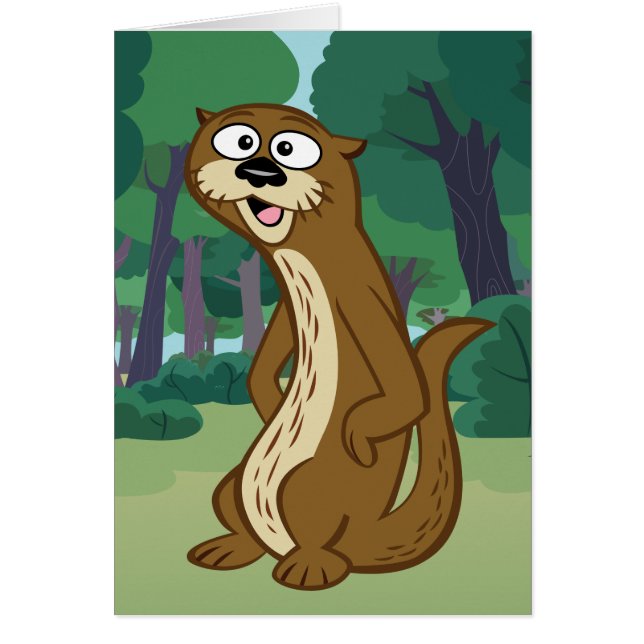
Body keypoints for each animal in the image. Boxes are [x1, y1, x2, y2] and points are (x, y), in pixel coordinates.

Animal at [184, 104, 492, 590]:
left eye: (290, 149)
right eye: (241, 141)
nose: (259, 172)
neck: (302, 255)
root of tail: (363, 536)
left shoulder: (360, 295)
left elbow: (407, 388)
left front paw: (357, 435)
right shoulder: (286, 308)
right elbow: (262, 369)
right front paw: (269, 403)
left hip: (309, 486)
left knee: (317, 538)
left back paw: (309, 567)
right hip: (234, 482)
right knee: (239, 512)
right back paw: (233, 547)